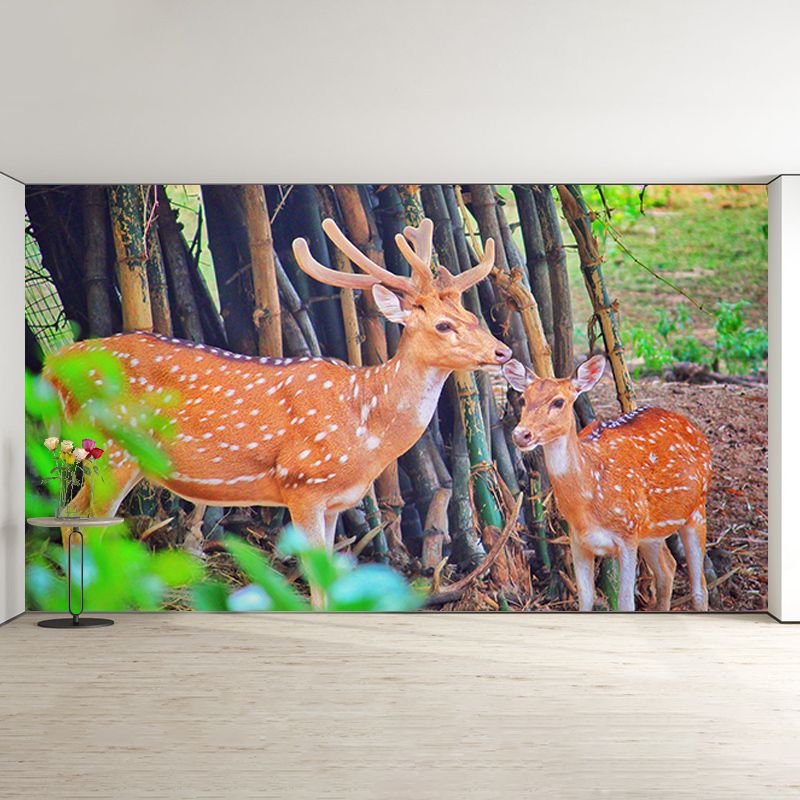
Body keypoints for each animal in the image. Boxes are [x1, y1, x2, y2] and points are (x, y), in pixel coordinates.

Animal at [45, 217, 512, 606]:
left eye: (470, 314)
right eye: (443, 325)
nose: (503, 351)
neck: (365, 425)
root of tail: (55, 364)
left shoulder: (335, 502)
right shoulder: (302, 482)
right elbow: (316, 581)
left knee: (71, 517)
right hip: (111, 447)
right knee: (86, 522)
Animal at [502, 355, 712, 612]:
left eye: (559, 401)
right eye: (523, 399)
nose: (521, 435)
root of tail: (694, 429)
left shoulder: (627, 534)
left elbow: (626, 603)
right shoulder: (578, 540)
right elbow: (585, 600)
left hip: (696, 508)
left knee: (699, 587)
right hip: (649, 530)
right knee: (667, 569)